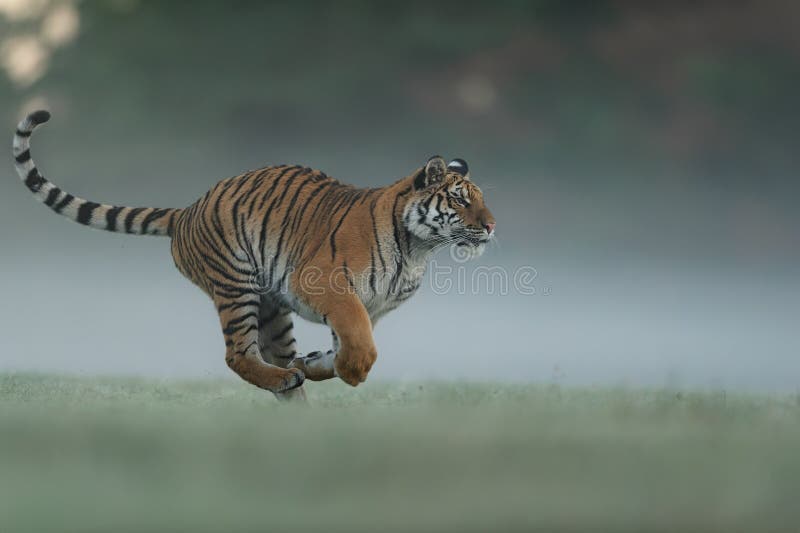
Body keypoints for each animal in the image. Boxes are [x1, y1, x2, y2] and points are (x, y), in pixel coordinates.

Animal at [14, 111, 494, 400]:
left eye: (481, 200)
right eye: (460, 200)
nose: (491, 226)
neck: (417, 249)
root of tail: (187, 210)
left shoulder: (369, 306)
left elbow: (347, 343)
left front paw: (318, 363)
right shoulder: (329, 287)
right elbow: (359, 344)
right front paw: (351, 370)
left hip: (271, 306)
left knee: (271, 361)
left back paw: (295, 394)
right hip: (236, 283)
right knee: (238, 355)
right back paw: (285, 379)